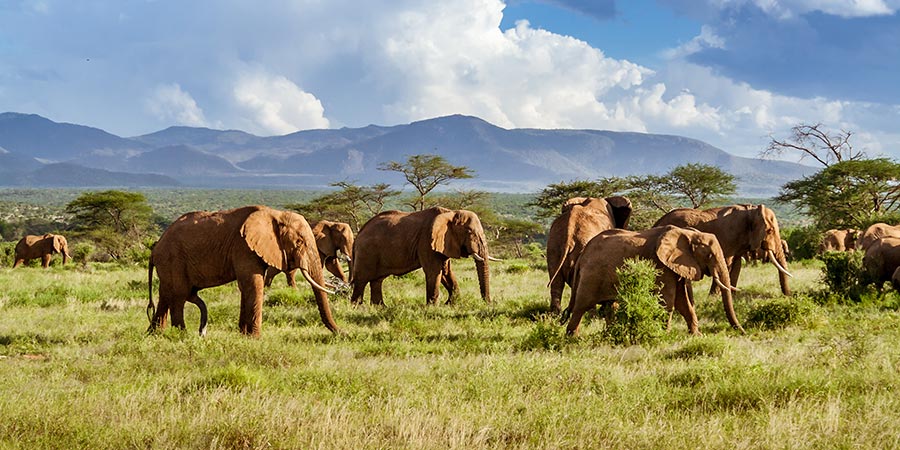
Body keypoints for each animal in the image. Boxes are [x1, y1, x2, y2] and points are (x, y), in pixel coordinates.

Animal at [146, 205, 339, 336]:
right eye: (299, 242)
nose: (340, 333)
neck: (275, 214)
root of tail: (155, 249)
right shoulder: (243, 247)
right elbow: (253, 285)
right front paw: (255, 338)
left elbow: (246, 287)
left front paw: (244, 335)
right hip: (173, 259)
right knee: (178, 295)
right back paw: (181, 335)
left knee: (166, 294)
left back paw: (155, 334)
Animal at [350, 207, 495, 305]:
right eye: (469, 232)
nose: (487, 303)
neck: (451, 213)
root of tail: (359, 234)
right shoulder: (426, 241)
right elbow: (434, 271)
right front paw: (432, 307)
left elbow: (446, 272)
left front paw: (452, 304)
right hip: (366, 252)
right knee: (361, 280)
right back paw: (357, 307)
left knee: (376, 281)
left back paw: (380, 308)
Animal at [562, 225, 744, 336]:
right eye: (709, 255)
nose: (743, 332)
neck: (688, 233)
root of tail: (583, 254)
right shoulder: (660, 264)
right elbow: (668, 301)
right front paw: (665, 335)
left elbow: (683, 302)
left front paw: (697, 335)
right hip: (591, 275)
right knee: (581, 306)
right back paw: (573, 338)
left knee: (610, 306)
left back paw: (610, 334)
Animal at [653, 204, 792, 296]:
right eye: (770, 230)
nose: (787, 296)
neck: (752, 210)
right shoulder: (729, 238)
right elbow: (727, 263)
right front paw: (714, 297)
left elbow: (736, 265)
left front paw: (732, 297)